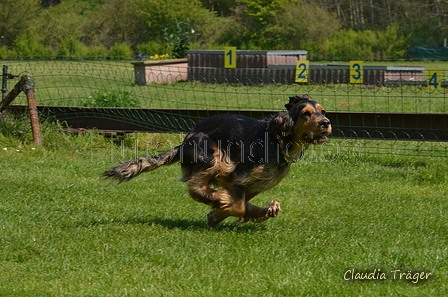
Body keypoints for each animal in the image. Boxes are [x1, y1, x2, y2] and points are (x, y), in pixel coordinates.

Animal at [103, 94, 330, 227]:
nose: (326, 123)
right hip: (215, 156)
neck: (278, 140)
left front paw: (262, 210)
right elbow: (237, 205)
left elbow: (243, 204)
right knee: (195, 186)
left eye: (323, 111)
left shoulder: (255, 184)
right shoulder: (238, 176)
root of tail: (183, 143)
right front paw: (217, 210)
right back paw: (218, 197)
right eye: (306, 114)